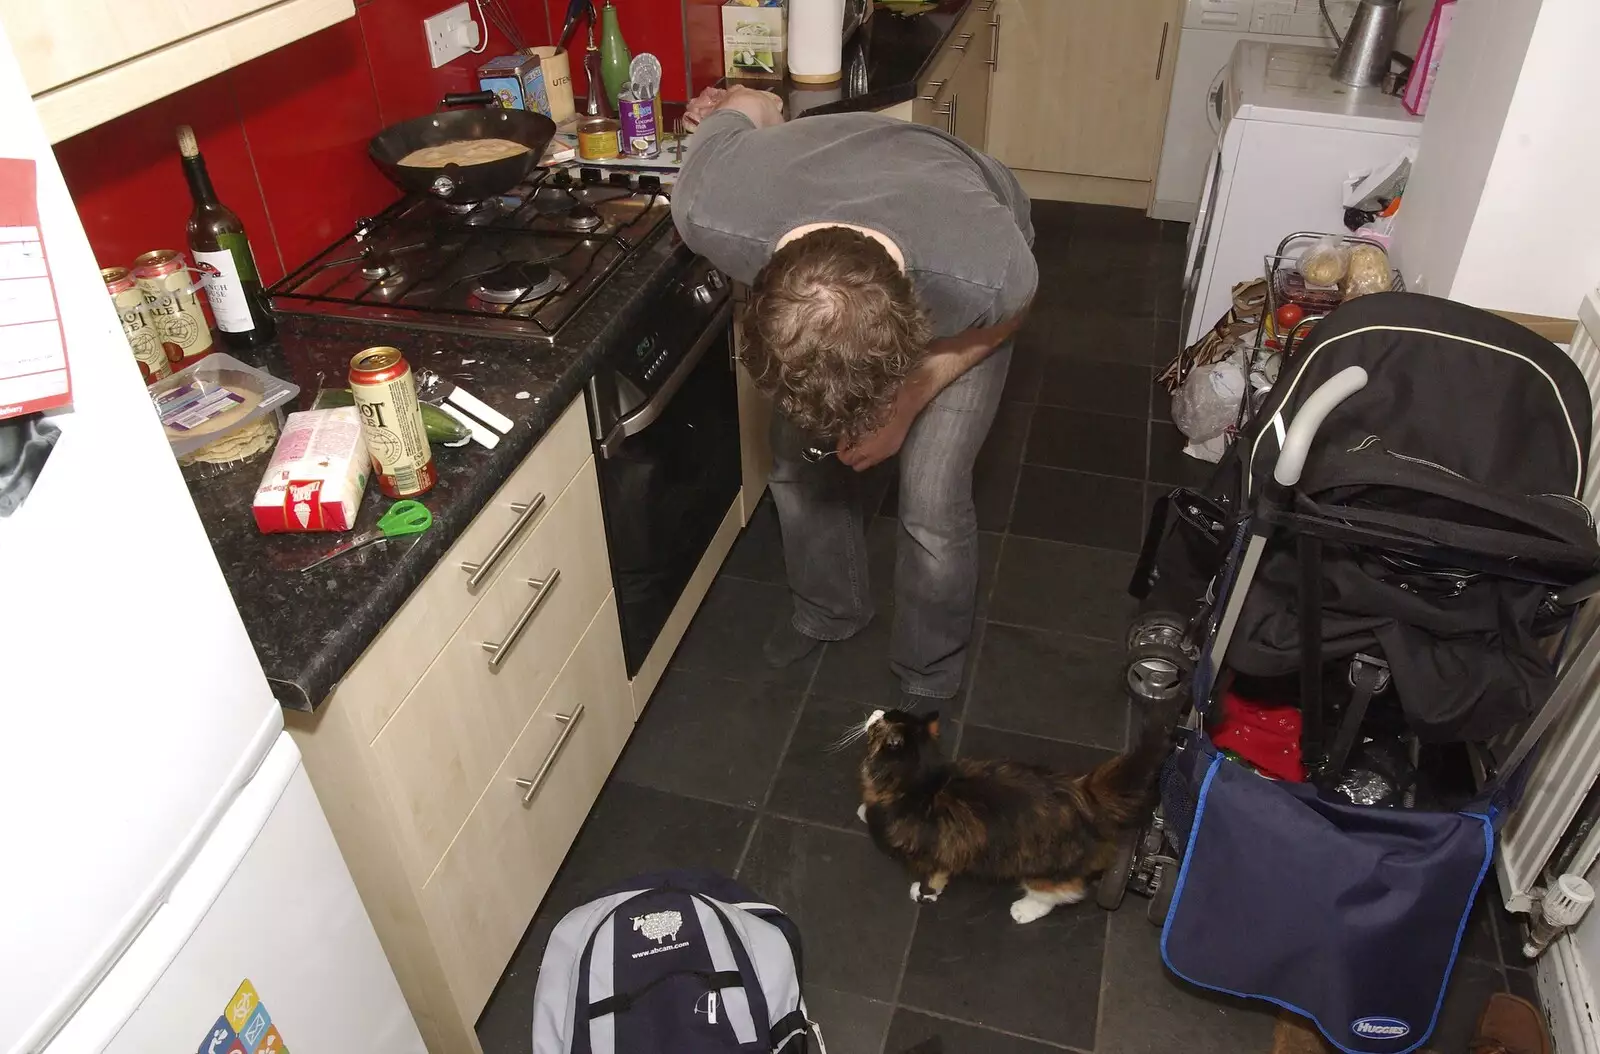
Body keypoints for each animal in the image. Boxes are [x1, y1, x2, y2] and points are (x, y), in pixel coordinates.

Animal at [857, 710, 1171, 921]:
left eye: (879, 724)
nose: (874, 712)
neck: (923, 783)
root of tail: (1083, 792)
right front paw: (862, 809)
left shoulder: (935, 854)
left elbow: (933, 878)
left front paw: (923, 895)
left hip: (1045, 866)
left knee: (1064, 891)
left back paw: (1024, 909)